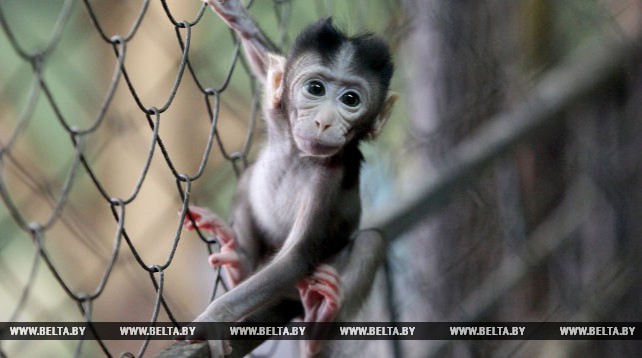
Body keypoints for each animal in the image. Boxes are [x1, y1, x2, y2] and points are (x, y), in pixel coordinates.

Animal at [180, 0, 398, 356]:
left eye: (350, 99)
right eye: (315, 89)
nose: (324, 121)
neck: (299, 154)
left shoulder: (330, 182)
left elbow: (296, 258)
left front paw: (214, 317)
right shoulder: (278, 112)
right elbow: (266, 66)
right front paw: (240, 20)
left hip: (302, 288)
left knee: (371, 242)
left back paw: (317, 327)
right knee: (248, 179)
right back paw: (237, 263)